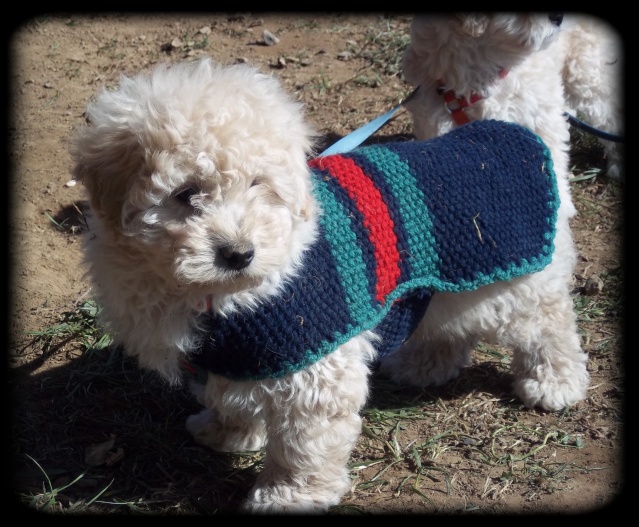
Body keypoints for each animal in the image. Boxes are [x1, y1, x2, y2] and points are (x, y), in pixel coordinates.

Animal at [70, 58, 592, 516]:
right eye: (186, 195)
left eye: (259, 185)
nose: (239, 253)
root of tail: (512, 134)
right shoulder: (239, 355)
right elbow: (228, 396)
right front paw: (227, 432)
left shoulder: (316, 368)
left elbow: (304, 445)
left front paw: (289, 495)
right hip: (454, 286)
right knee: (451, 326)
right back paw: (424, 364)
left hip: (520, 281)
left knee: (550, 326)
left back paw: (555, 382)